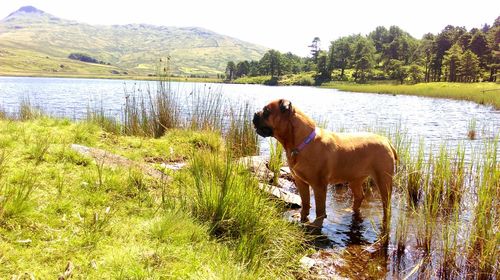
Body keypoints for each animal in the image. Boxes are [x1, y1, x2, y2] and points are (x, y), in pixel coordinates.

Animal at [254, 99, 398, 226]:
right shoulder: (300, 182)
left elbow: (320, 210)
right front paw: (303, 218)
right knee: (359, 196)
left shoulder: (319, 186)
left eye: (266, 111)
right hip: (355, 179)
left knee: (386, 204)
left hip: (383, 181)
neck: (301, 142)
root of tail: (387, 141)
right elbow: (305, 203)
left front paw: (316, 226)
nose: (255, 114)